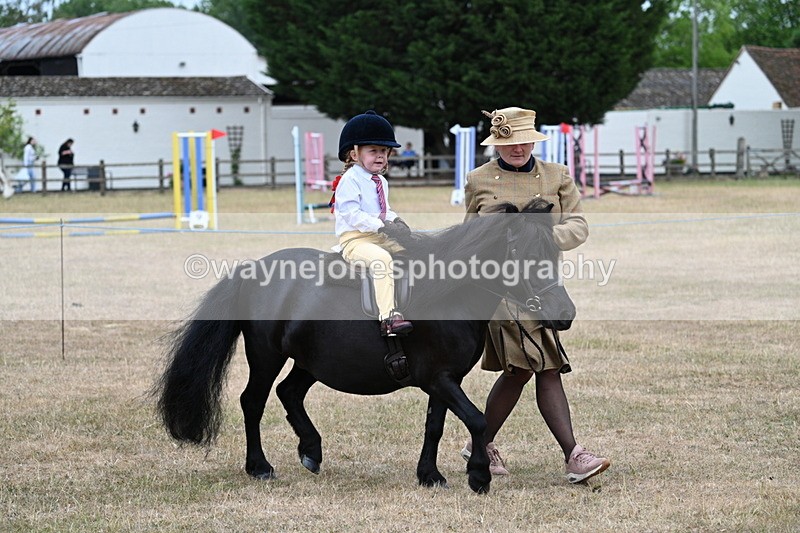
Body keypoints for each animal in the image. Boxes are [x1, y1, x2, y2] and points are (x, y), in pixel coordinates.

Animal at [154, 198, 576, 494]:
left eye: (554, 254)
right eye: (527, 256)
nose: (565, 314)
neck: (450, 296)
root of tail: (252, 269)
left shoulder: (444, 380)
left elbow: (434, 426)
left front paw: (429, 475)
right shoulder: (439, 379)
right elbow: (477, 419)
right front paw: (478, 476)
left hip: (311, 361)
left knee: (289, 392)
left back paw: (311, 451)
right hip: (266, 356)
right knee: (253, 401)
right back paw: (260, 467)